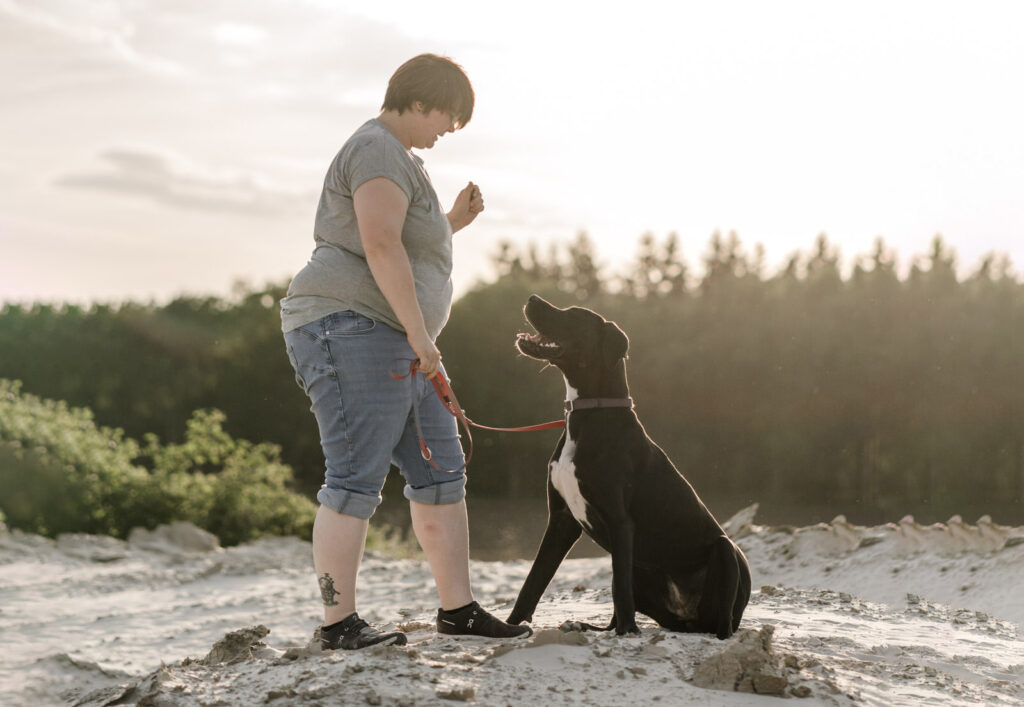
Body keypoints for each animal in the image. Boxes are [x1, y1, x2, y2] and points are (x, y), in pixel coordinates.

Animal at [507, 295, 749, 635]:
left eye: (573, 316)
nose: (532, 298)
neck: (588, 413)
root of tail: (688, 620)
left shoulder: (619, 521)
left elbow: (620, 591)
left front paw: (628, 633)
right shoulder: (561, 520)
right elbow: (533, 581)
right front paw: (509, 626)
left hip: (726, 551)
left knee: (723, 623)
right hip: (643, 568)